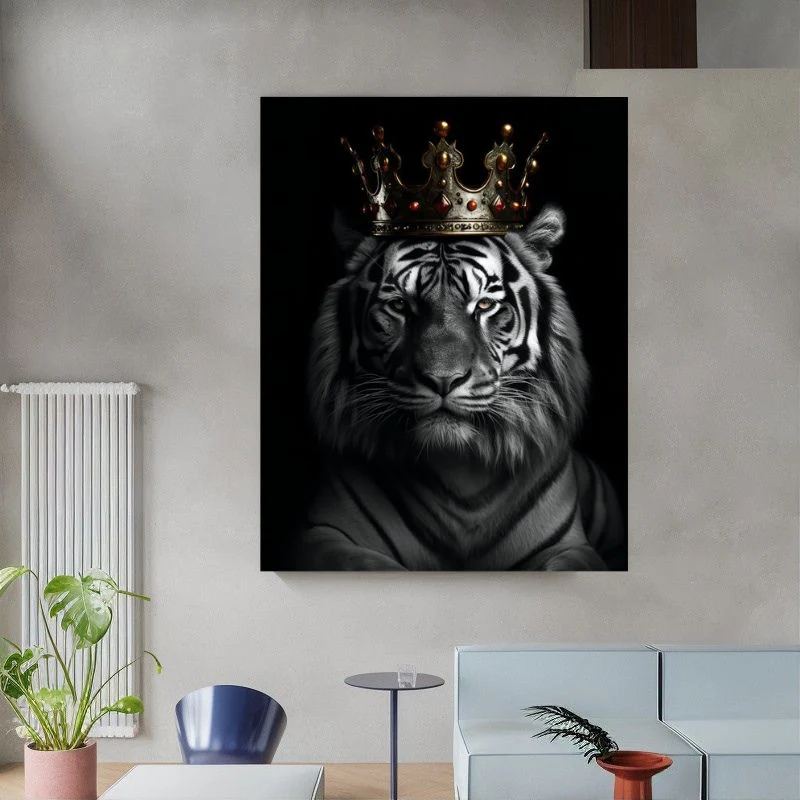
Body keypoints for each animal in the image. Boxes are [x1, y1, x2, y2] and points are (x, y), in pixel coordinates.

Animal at [291, 205, 625, 570]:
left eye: (484, 305)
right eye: (399, 306)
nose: (442, 379)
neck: (459, 470)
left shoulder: (569, 547)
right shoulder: (325, 534)